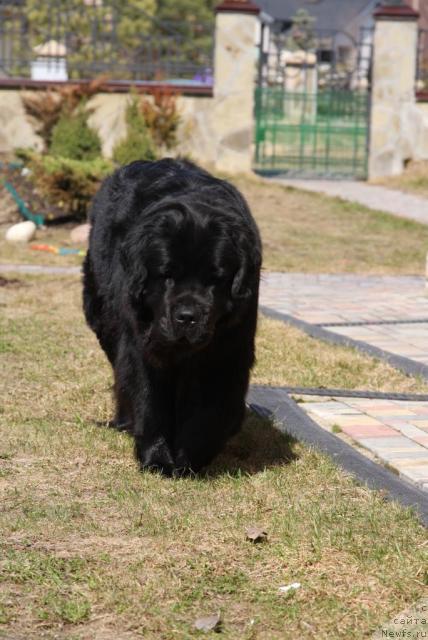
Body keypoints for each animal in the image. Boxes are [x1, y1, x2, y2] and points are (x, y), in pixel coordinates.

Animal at [80, 159, 260, 476]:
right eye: (166, 275)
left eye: (215, 279)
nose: (187, 316)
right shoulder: (142, 346)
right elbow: (148, 399)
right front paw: (157, 459)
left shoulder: (228, 348)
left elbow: (210, 411)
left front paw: (190, 459)